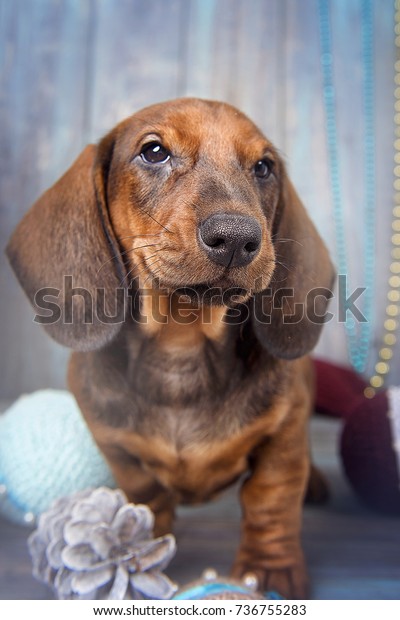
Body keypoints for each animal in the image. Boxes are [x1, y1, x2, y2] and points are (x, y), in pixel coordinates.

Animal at [7, 98, 336, 600]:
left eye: (264, 167)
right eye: (154, 151)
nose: (236, 237)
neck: (182, 344)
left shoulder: (283, 434)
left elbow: (271, 501)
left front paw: (269, 572)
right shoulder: (116, 448)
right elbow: (146, 494)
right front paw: (136, 550)